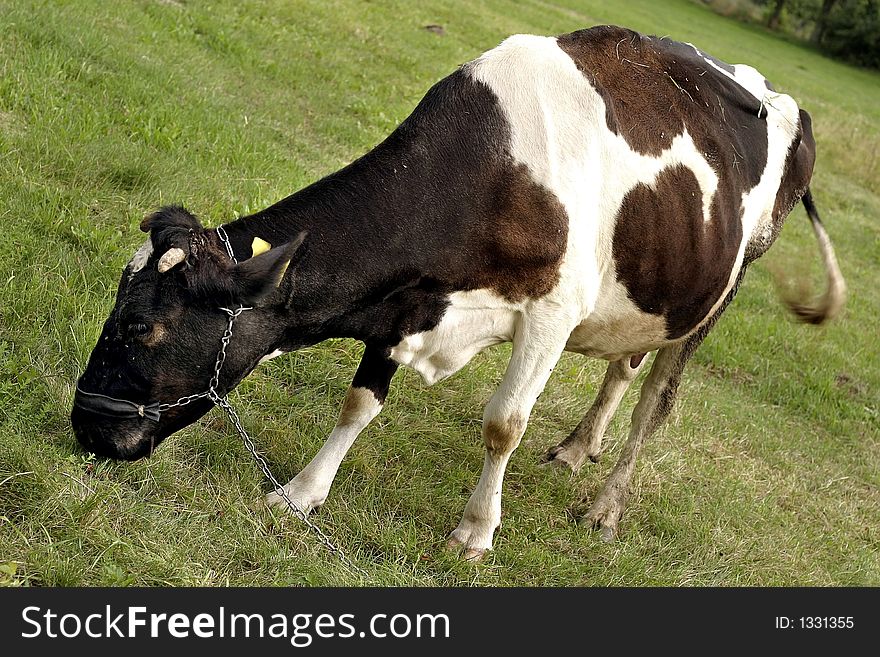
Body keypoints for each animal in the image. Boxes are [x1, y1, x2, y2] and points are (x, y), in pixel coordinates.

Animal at [72, 25, 844, 560]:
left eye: (141, 327)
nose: (83, 426)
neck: (493, 167)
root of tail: (777, 95)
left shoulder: (551, 314)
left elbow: (504, 423)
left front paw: (475, 532)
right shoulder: (407, 298)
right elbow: (360, 402)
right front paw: (300, 494)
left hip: (721, 292)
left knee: (656, 399)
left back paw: (606, 507)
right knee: (623, 365)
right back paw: (577, 447)